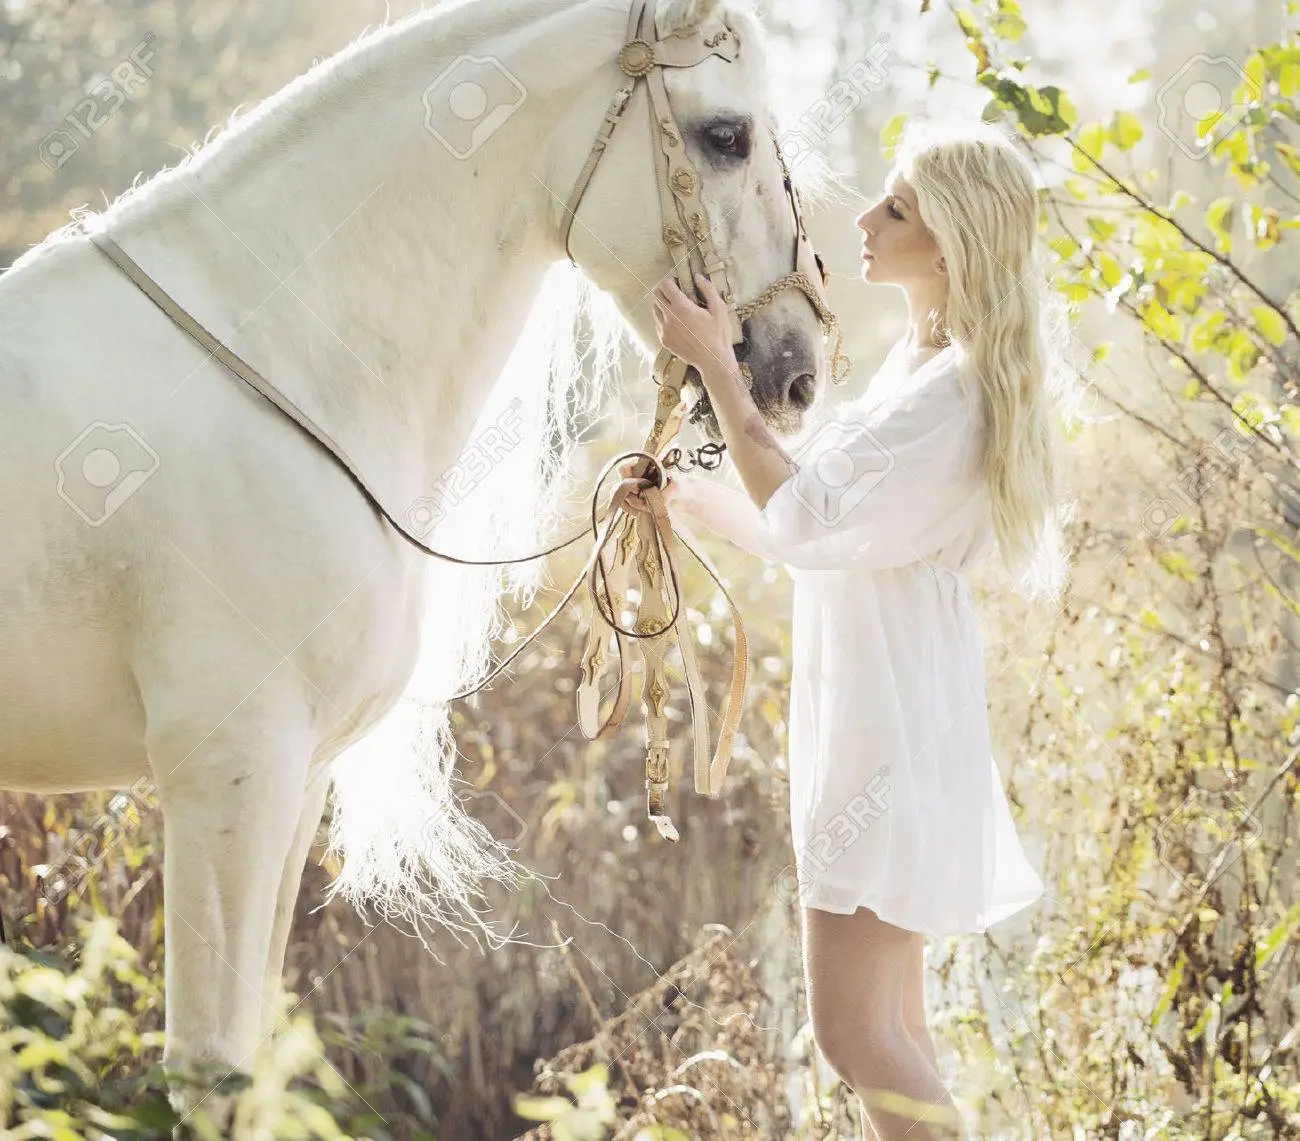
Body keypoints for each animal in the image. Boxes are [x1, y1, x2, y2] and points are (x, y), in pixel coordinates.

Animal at [0, 0, 826, 1112]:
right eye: (726, 135)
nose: (798, 368)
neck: (285, 357)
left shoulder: (295, 780)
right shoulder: (228, 774)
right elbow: (211, 1069)